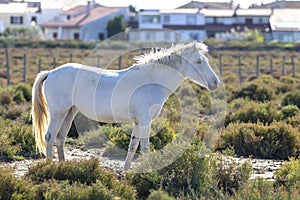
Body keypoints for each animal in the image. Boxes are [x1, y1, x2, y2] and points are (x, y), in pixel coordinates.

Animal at [31, 41, 220, 169]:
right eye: (198, 61)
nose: (215, 83)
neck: (149, 81)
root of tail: (51, 72)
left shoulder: (138, 122)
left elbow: (132, 146)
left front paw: (127, 170)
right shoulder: (145, 122)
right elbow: (145, 147)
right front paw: (149, 170)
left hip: (69, 113)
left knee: (60, 139)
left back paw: (64, 167)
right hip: (58, 113)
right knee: (49, 137)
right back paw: (49, 167)